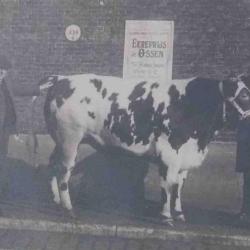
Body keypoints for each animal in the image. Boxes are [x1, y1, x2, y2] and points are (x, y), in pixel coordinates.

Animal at [37, 73, 242, 225]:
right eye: (244, 95)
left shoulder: (184, 157)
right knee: (64, 171)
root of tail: (62, 78)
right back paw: (69, 209)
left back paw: (56, 200)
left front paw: (179, 214)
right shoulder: (169, 154)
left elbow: (178, 187)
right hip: (70, 139)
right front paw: (166, 217)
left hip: (60, 140)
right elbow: (168, 186)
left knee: (52, 164)